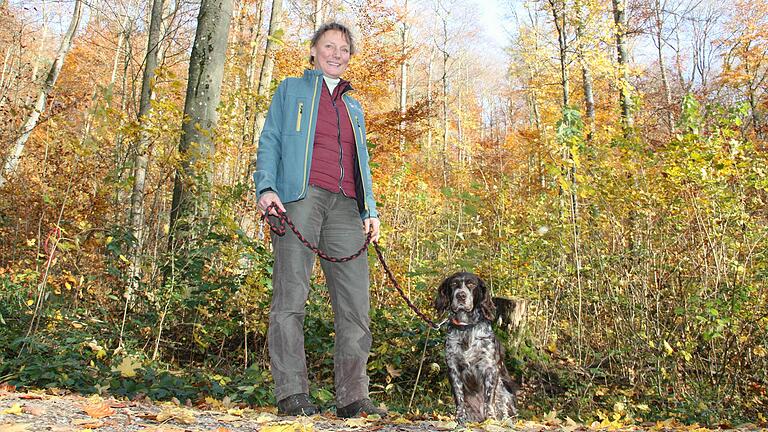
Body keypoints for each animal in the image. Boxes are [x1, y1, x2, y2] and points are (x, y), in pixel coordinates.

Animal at [436, 272, 520, 424]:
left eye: (471, 284)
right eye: (453, 284)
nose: (461, 295)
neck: (466, 328)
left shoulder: (490, 368)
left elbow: (489, 399)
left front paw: (491, 419)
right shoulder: (453, 368)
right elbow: (459, 399)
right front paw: (460, 419)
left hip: (505, 391)